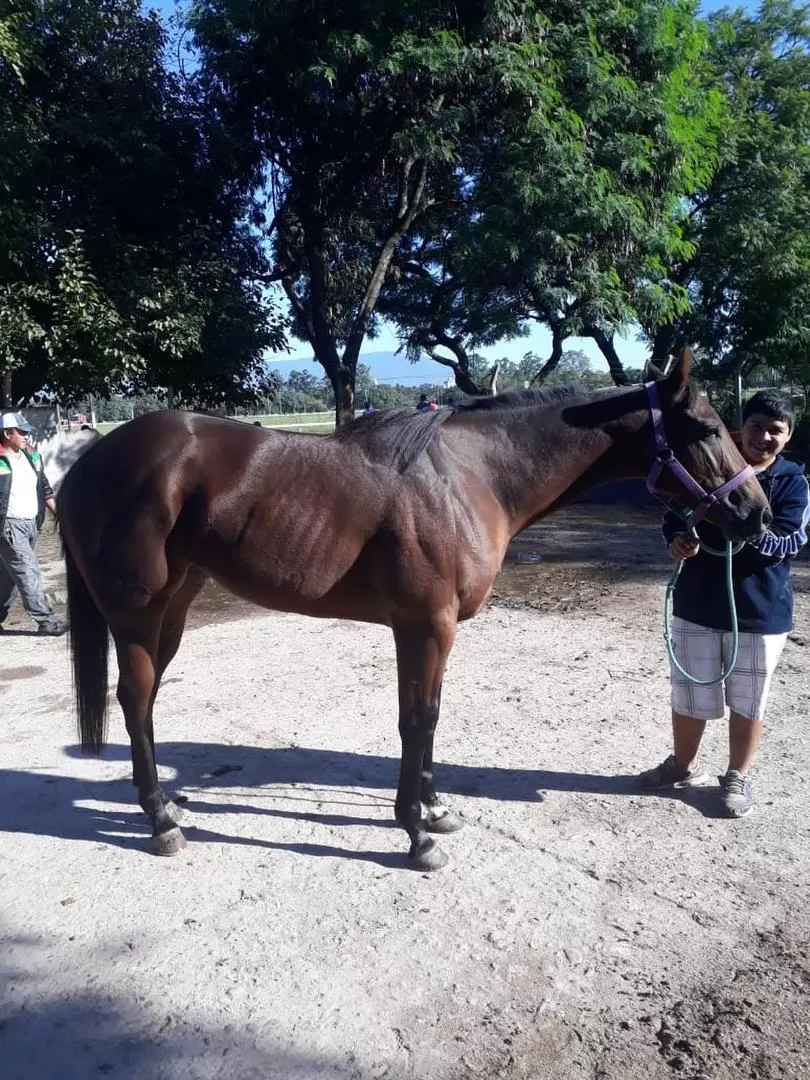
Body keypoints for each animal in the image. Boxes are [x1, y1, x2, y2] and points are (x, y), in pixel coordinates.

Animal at [58, 349, 773, 872]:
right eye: (710, 430)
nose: (758, 515)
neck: (469, 478)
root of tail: (88, 460)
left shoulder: (430, 631)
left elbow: (427, 715)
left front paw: (433, 809)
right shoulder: (425, 627)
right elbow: (416, 721)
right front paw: (416, 834)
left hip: (173, 607)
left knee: (146, 699)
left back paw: (165, 804)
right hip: (137, 613)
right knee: (134, 697)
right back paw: (159, 819)